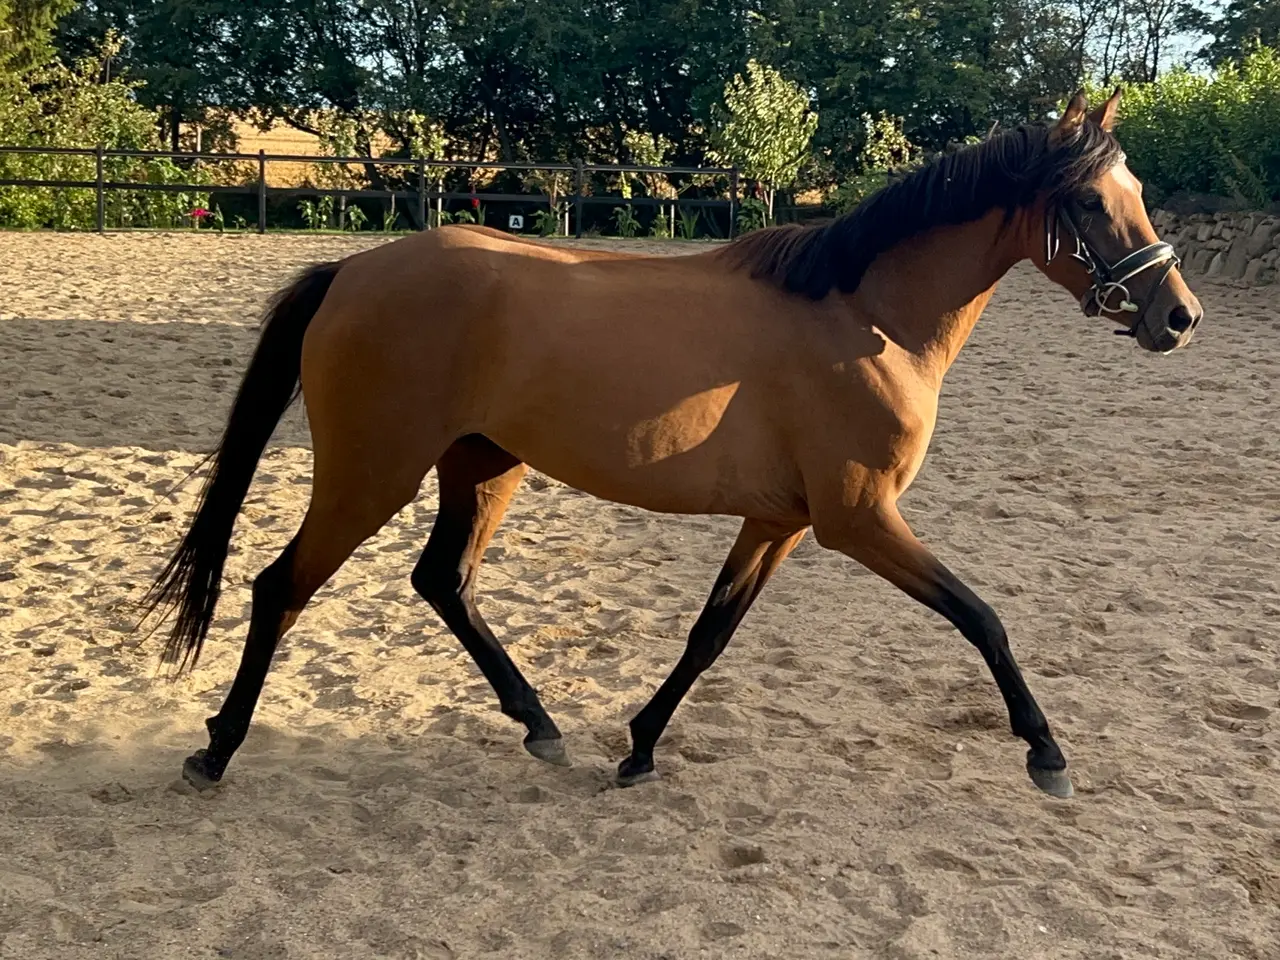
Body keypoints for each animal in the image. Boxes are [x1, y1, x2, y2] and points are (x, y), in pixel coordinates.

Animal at [144, 89, 1203, 799]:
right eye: (1093, 203)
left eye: (1136, 190)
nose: (1179, 317)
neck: (866, 318)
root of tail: (354, 269)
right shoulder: (860, 520)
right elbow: (983, 619)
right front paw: (1046, 752)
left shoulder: (779, 521)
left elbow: (709, 634)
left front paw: (640, 746)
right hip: (373, 472)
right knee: (281, 587)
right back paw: (216, 749)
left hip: (482, 465)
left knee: (442, 581)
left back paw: (540, 725)